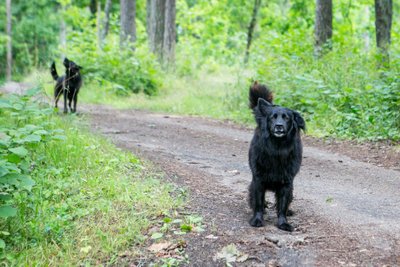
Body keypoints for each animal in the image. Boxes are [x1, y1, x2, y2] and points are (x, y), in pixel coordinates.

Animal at [247, 81, 306, 232]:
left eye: (287, 118)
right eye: (273, 117)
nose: (279, 126)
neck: (277, 148)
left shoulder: (287, 182)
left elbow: (283, 205)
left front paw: (283, 223)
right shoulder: (258, 179)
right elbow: (258, 202)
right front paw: (257, 219)